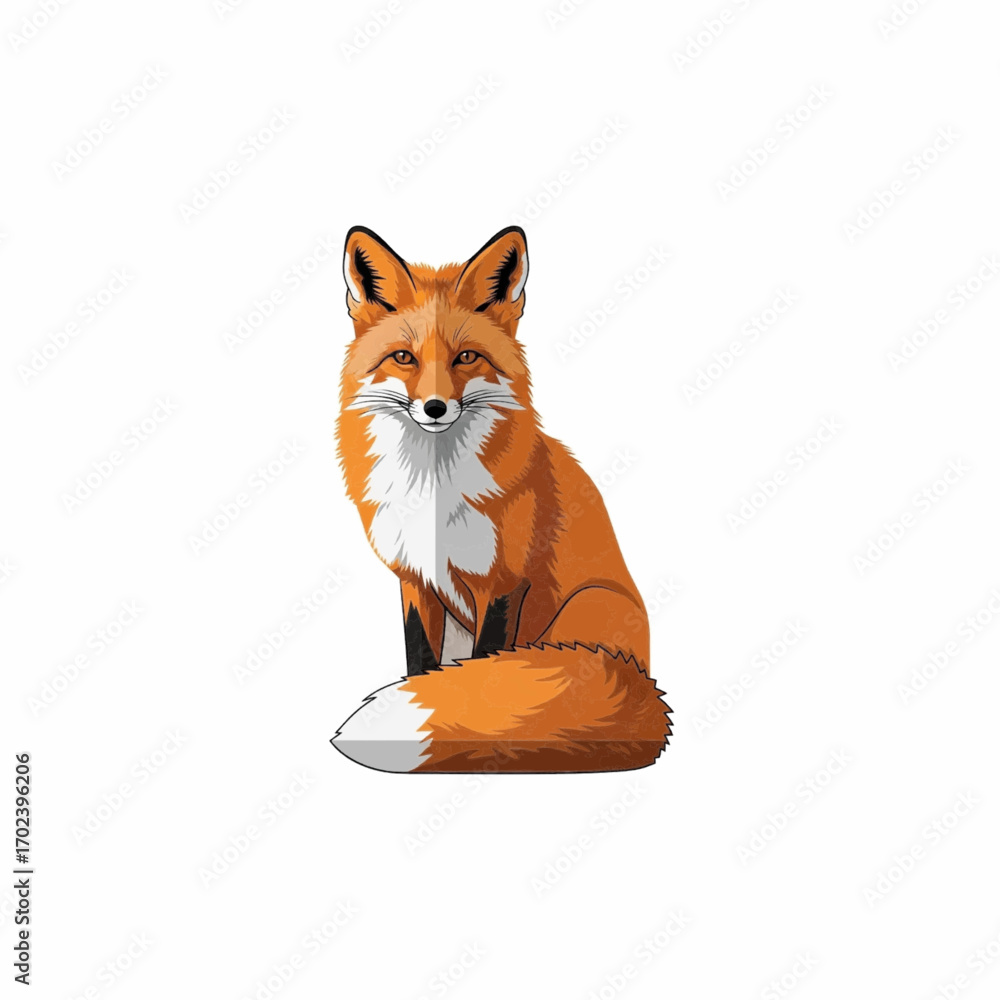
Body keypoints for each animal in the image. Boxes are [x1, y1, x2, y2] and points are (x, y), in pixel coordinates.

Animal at [331, 225, 671, 773]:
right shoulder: (414, 580)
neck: (433, 486)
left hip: (585, 610)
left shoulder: (503, 580)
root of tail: (644, 686)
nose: (434, 407)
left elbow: (484, 678)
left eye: (466, 356)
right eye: (404, 357)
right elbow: (420, 663)